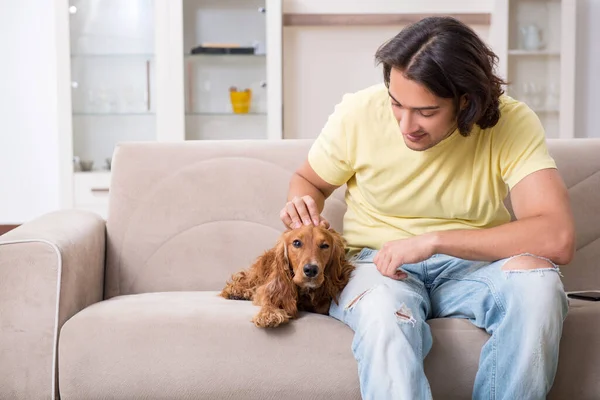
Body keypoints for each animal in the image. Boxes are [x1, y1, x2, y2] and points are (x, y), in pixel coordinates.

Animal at [219, 225, 354, 328]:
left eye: (325, 246)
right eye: (296, 243)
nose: (311, 270)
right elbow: (268, 297)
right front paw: (269, 313)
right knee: (246, 280)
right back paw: (236, 291)